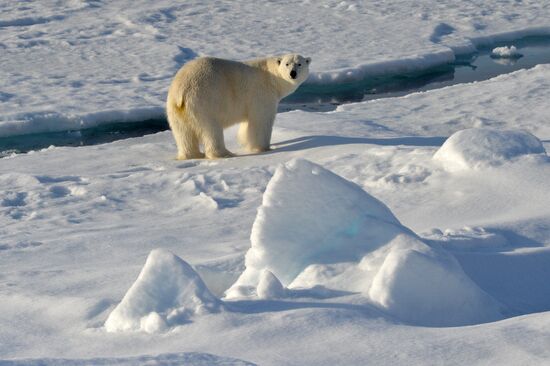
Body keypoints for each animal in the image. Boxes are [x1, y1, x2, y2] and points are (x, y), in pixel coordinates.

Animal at [165, 53, 310, 159]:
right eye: (287, 64)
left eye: (299, 64)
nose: (293, 73)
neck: (272, 77)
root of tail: (181, 90)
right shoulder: (261, 93)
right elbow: (261, 121)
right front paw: (264, 148)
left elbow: (247, 124)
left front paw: (245, 142)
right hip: (204, 100)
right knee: (211, 129)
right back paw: (225, 153)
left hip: (175, 108)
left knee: (183, 132)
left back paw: (192, 155)